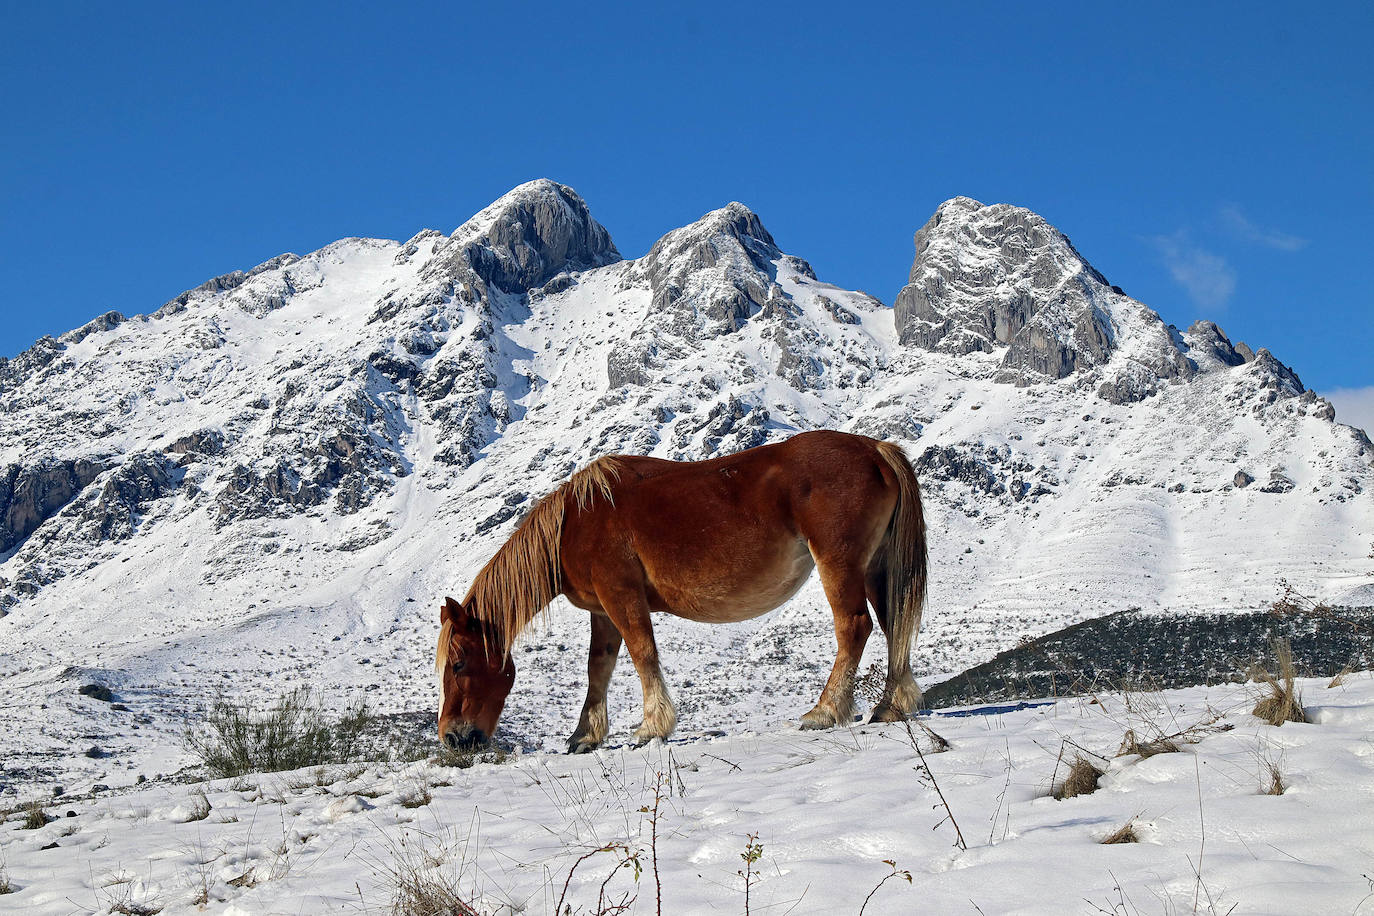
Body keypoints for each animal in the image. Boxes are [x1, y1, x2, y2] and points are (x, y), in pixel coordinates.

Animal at [434, 431, 928, 752]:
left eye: (458, 663)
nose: (453, 738)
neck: (577, 521)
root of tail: (876, 450)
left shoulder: (621, 595)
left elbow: (642, 654)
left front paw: (652, 727)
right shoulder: (602, 611)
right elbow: (599, 668)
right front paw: (585, 736)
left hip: (839, 565)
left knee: (855, 627)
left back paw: (825, 711)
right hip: (876, 568)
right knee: (893, 626)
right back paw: (891, 706)